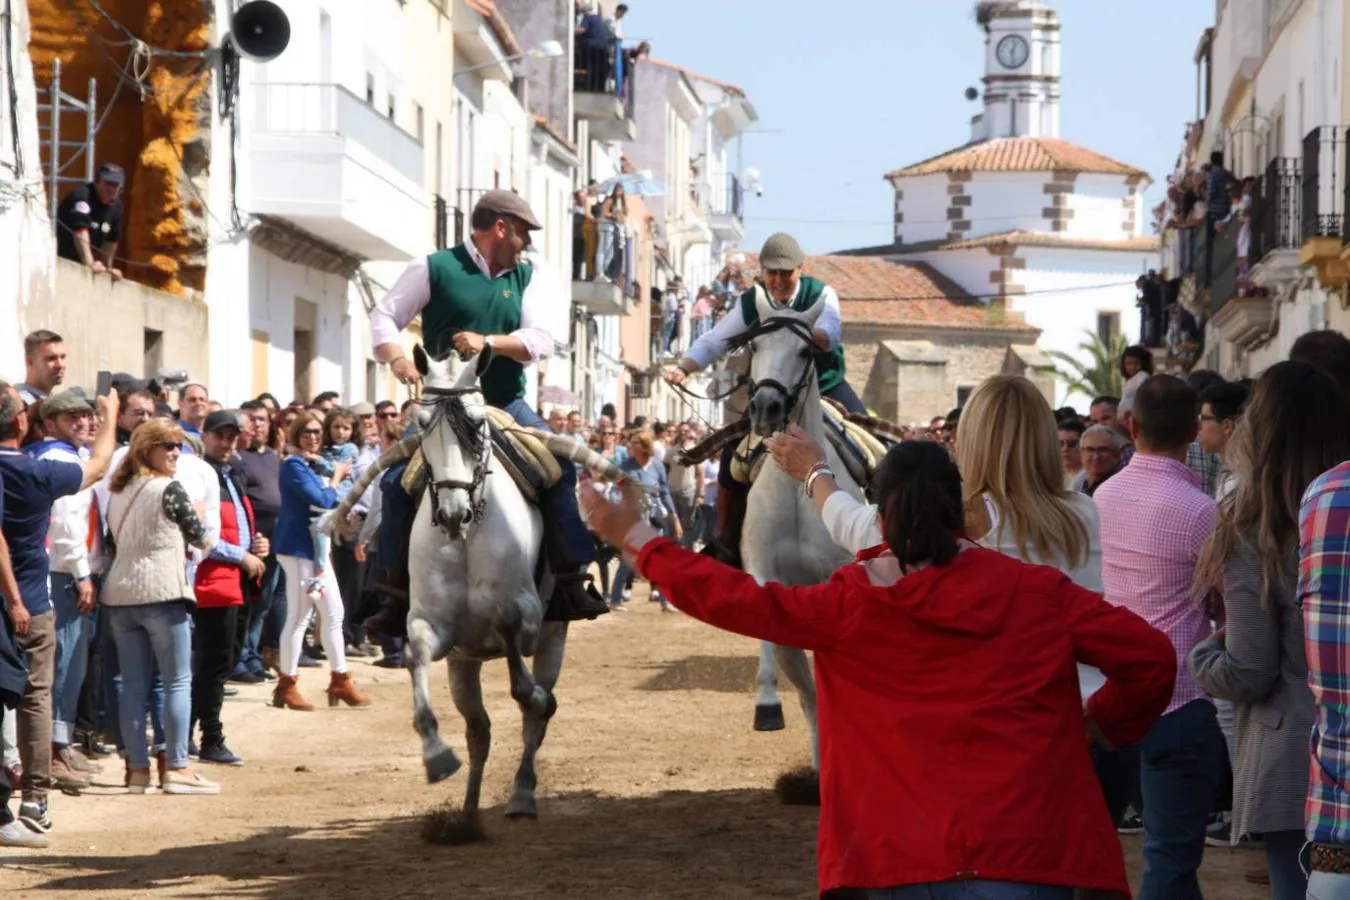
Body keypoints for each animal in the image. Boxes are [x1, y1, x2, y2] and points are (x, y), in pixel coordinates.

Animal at [739, 296, 864, 777]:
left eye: (805, 351)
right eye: (754, 345)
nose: (766, 408)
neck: (798, 487)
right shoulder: (763, 568)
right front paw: (767, 704)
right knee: (810, 698)